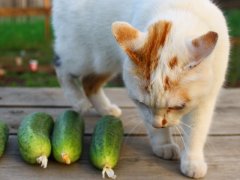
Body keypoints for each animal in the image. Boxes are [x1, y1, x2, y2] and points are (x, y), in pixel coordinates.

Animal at [52, 0, 229, 177]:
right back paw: (78, 101)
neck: (180, 9)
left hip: (106, 62)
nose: (158, 124)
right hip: (84, 58)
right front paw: (163, 145)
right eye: (143, 103)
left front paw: (193, 161)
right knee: (61, 66)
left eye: (177, 107)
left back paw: (106, 109)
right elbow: (154, 126)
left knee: (89, 83)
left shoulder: (205, 100)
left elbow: (195, 132)